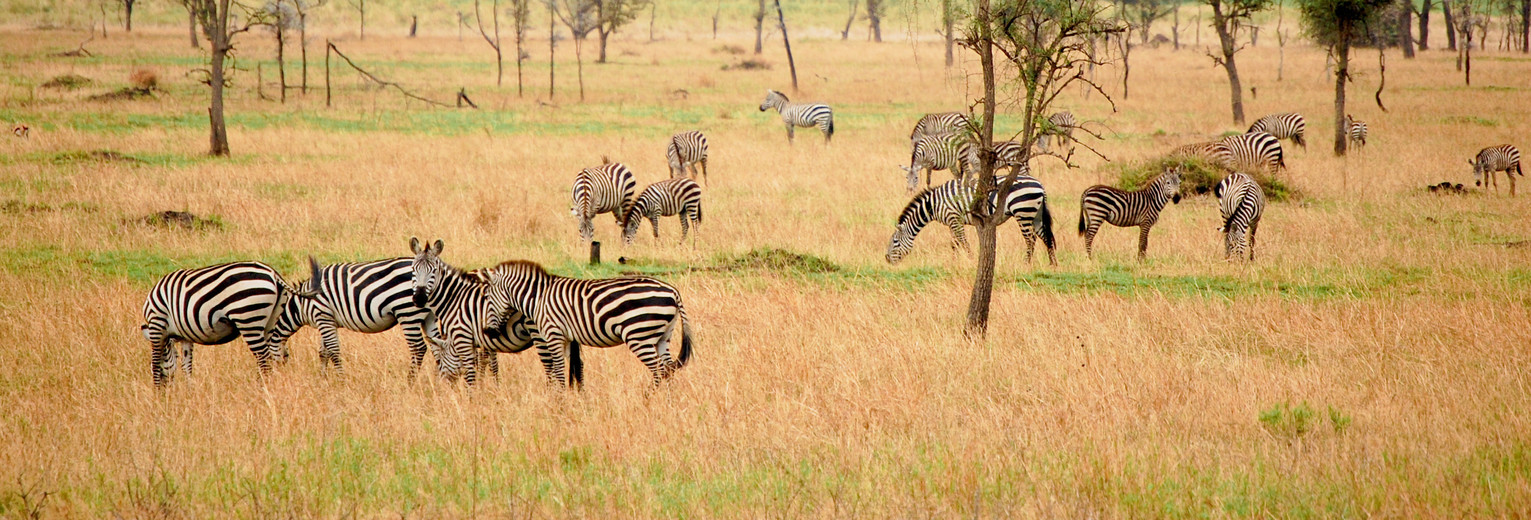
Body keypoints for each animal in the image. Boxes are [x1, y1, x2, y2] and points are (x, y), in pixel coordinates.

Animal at [140, 259, 321, 387]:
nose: (166, 390)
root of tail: (273, 273)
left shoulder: (157, 324)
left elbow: (156, 363)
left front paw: (158, 395)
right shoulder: (185, 337)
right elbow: (186, 365)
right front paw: (189, 391)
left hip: (248, 318)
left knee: (263, 357)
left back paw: (261, 388)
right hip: (270, 320)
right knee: (275, 354)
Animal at [481, 260, 695, 388]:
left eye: (487, 299)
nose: (488, 331)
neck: (538, 298)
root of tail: (672, 291)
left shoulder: (553, 334)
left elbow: (559, 370)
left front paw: (560, 403)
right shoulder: (567, 337)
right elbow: (572, 368)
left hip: (639, 335)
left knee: (659, 371)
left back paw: (648, 399)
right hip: (663, 336)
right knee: (668, 370)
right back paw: (667, 404)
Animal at [886, 176, 1057, 266]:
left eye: (895, 242)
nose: (887, 260)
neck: (933, 205)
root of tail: (1040, 185)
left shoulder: (954, 218)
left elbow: (963, 242)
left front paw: (971, 259)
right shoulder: (952, 221)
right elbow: (954, 243)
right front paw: (954, 262)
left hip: (1023, 211)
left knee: (1030, 238)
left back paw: (1026, 263)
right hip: (1035, 214)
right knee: (1045, 237)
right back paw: (1053, 264)